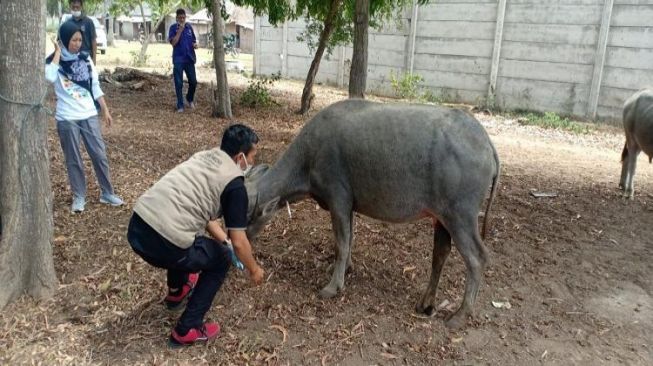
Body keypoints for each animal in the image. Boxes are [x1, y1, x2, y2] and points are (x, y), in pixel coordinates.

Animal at [244, 98, 500, 328]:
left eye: (244, 214)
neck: (310, 157)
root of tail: (486, 143)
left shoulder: (338, 199)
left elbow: (341, 243)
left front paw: (333, 286)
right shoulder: (349, 206)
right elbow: (349, 239)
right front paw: (346, 268)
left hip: (460, 217)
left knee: (477, 258)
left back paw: (460, 315)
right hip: (442, 217)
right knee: (440, 254)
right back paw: (426, 303)